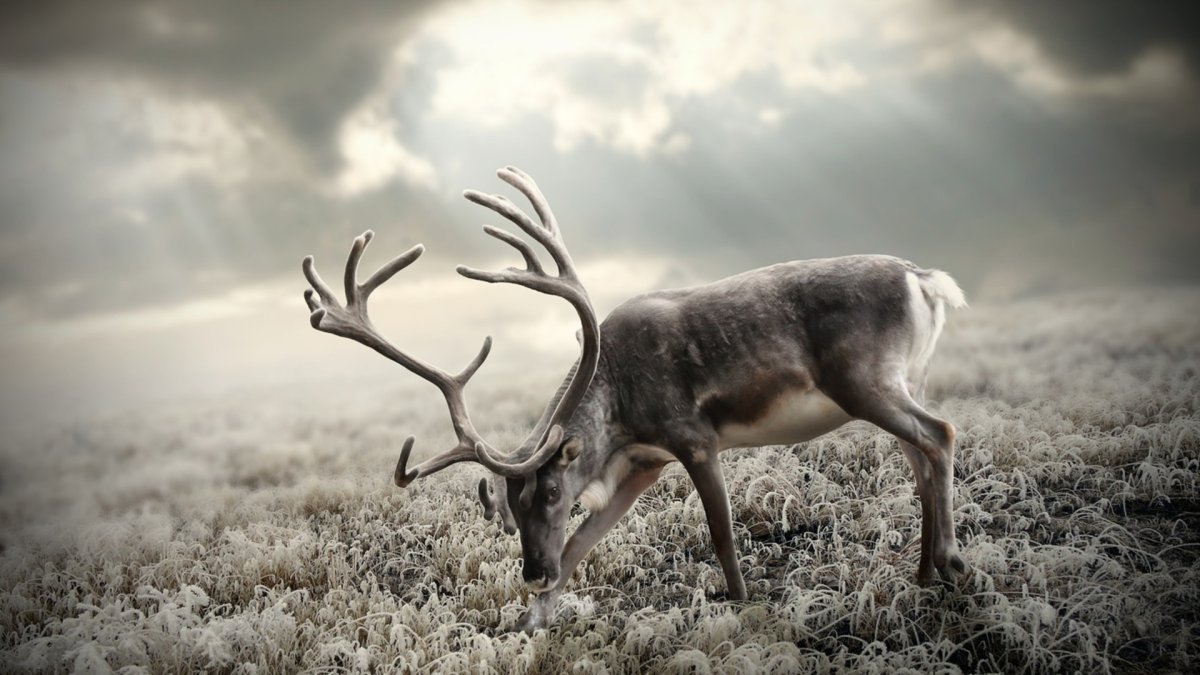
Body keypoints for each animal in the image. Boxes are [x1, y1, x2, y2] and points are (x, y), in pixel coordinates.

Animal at [302, 166, 970, 631]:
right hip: (902, 380)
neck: (620, 412)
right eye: (511, 504)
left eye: (550, 491)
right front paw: (530, 621)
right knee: (920, 457)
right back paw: (923, 573)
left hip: (865, 381)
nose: (531, 573)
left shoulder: (692, 438)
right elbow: (580, 544)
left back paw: (952, 561)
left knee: (940, 434)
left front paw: (742, 604)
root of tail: (926, 280)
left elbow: (721, 535)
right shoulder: (643, 464)